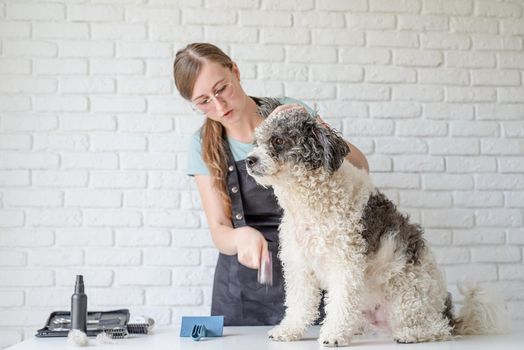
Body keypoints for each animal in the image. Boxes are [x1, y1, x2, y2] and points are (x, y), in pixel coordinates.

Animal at [247, 106, 508, 348]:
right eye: (256, 142)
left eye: (278, 141)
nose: (249, 160)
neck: (311, 203)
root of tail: (447, 313)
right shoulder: (300, 265)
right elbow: (299, 304)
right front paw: (289, 330)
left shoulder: (346, 263)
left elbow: (340, 303)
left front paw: (334, 335)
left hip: (406, 297)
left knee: (438, 329)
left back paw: (410, 334)